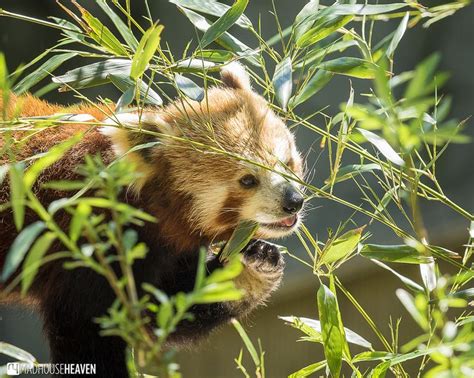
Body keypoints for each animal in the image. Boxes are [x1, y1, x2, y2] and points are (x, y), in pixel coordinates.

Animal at [0, 62, 304, 376]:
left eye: (285, 162)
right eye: (247, 180)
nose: (293, 202)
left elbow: (168, 308)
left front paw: (254, 264)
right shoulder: (85, 244)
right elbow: (89, 331)